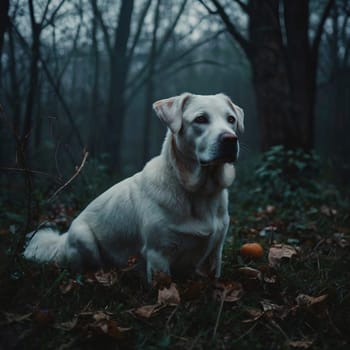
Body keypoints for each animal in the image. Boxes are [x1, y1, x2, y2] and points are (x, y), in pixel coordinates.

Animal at [23, 92, 243, 282]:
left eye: (231, 119)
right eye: (200, 119)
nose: (231, 139)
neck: (199, 191)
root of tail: (63, 239)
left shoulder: (215, 253)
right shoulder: (158, 254)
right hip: (84, 239)